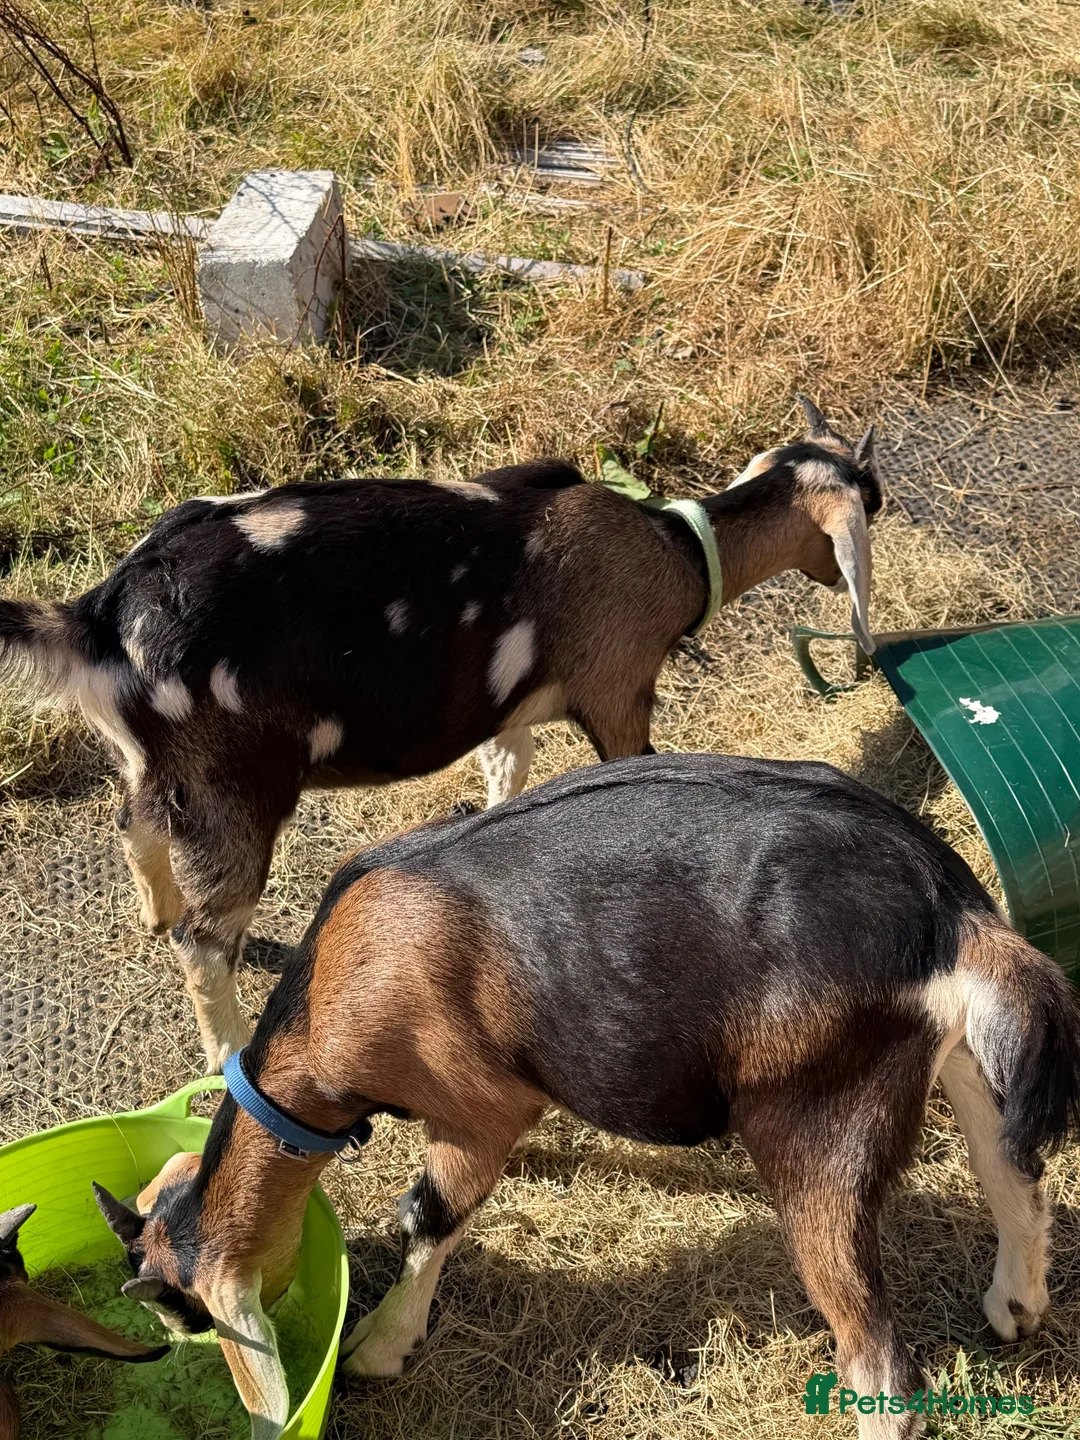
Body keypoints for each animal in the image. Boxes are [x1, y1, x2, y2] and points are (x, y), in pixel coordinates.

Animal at [0, 397, 881, 1070]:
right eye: (869, 501)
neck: (676, 553)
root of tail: (100, 616)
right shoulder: (618, 689)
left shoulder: (507, 707)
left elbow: (506, 772)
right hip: (232, 787)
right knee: (205, 940)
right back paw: (224, 1054)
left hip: (161, 766)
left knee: (131, 823)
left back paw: (153, 912)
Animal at [94, 752, 1080, 1440]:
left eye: (182, 1310)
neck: (330, 998)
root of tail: (948, 911)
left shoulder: (476, 1108)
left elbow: (428, 1214)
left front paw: (381, 1344)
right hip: (955, 1052)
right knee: (1013, 1166)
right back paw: (1015, 1304)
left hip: (818, 1111)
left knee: (881, 1367)